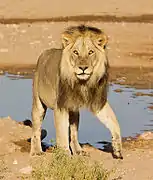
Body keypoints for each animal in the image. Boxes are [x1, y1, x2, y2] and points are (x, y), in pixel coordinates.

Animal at [30, 25, 122, 159]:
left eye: (90, 52)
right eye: (75, 52)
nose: (83, 68)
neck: (82, 83)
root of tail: (44, 53)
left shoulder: (98, 102)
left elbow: (113, 121)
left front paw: (117, 148)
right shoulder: (61, 106)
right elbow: (62, 133)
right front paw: (65, 155)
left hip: (74, 111)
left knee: (73, 133)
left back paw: (78, 150)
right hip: (38, 103)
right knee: (36, 129)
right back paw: (36, 151)